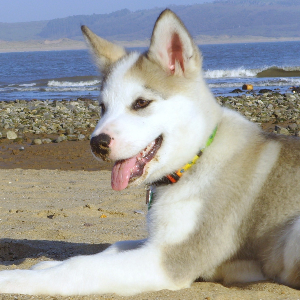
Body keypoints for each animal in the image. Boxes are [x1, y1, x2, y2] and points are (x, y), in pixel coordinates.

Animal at [0, 8, 300, 296]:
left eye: (141, 103)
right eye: (102, 107)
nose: (97, 143)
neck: (196, 159)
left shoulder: (172, 259)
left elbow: (80, 266)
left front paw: (14, 278)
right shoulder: (156, 242)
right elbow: (112, 247)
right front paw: (45, 264)